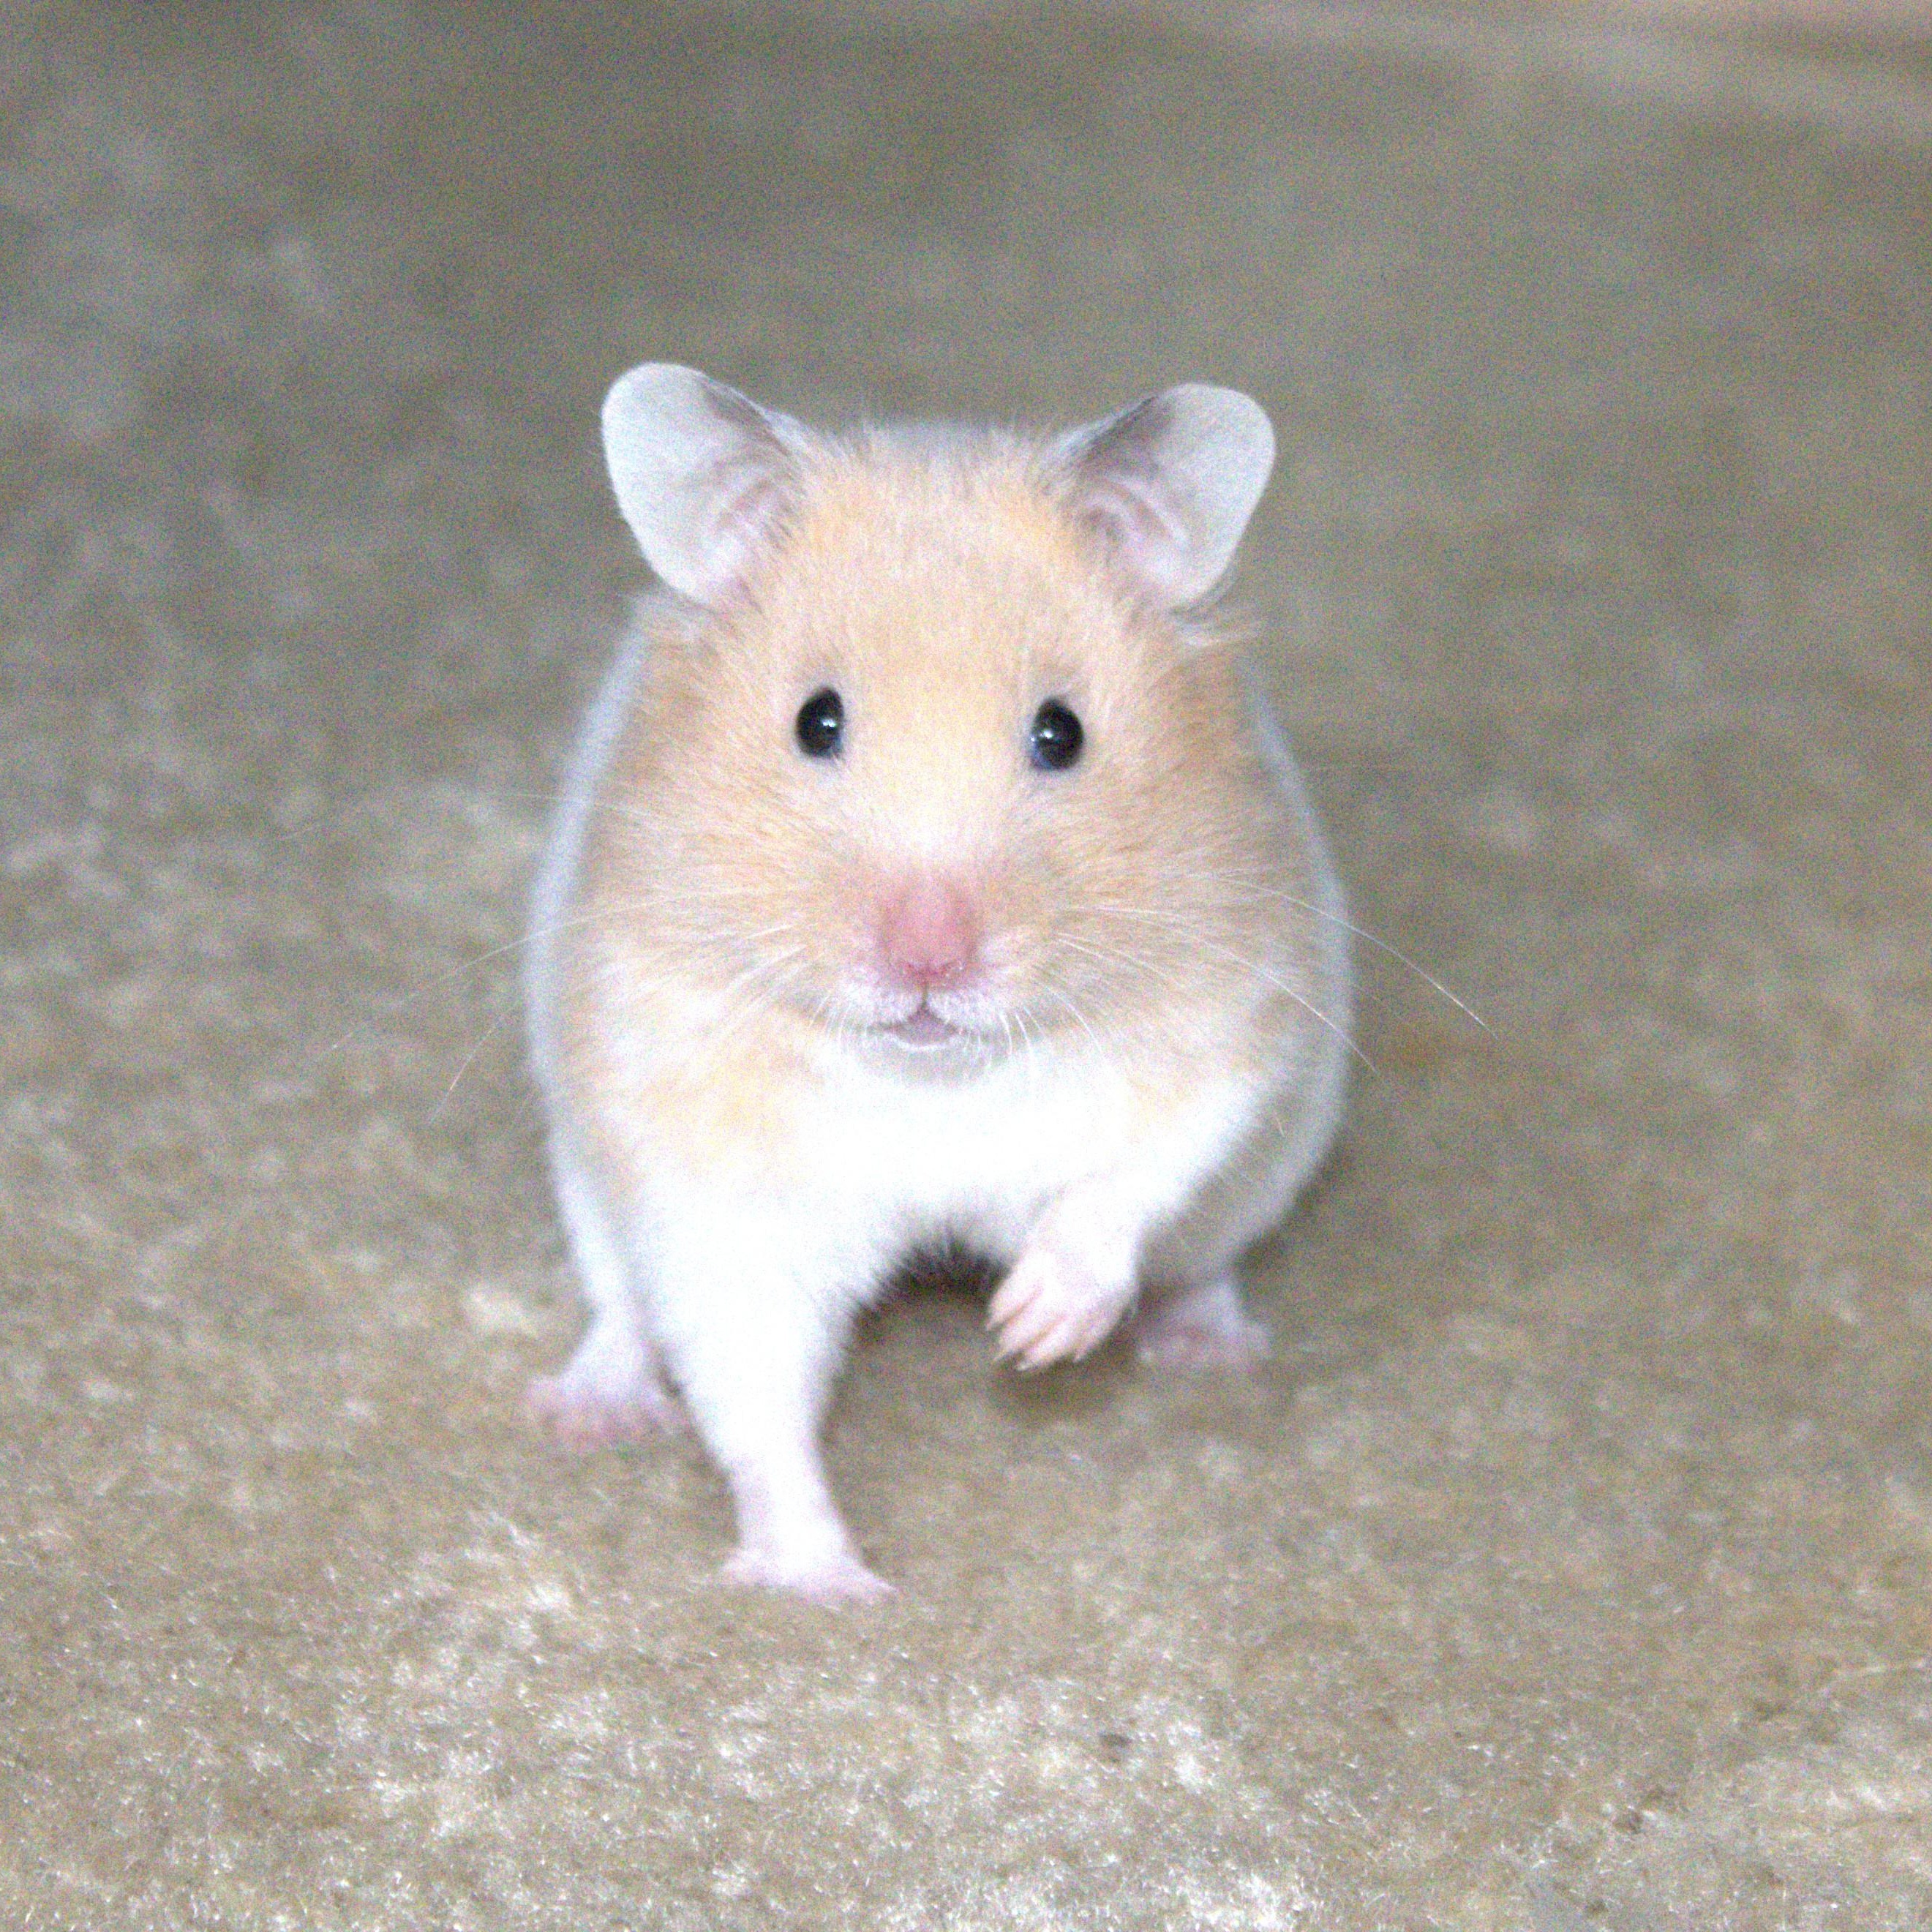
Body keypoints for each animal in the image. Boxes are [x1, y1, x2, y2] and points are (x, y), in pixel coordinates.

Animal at [523, 364, 1350, 1602]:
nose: (927, 959)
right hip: (585, 1172)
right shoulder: (711, 1170)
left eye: (1061, 733)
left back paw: (1205, 1349)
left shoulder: (1238, 1015)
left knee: (1199, 1256)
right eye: (816, 720)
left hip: (1269, 1174)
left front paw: (1033, 1330)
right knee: (623, 1304)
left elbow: (1137, 1174)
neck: (932, 1075)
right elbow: (752, 1389)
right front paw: (829, 1585)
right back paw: (588, 1413)